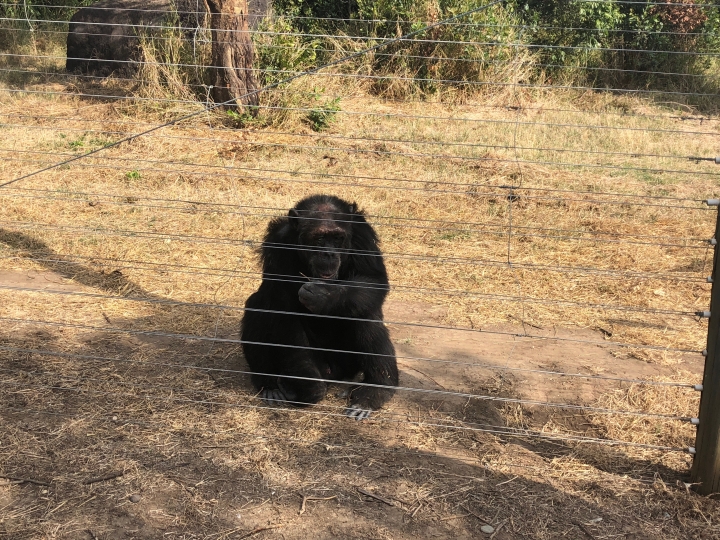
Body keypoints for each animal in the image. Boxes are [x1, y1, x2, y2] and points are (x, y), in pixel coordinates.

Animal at [242, 192, 400, 420]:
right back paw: (269, 384)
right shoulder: (277, 244)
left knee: (365, 310)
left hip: (348, 364)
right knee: (258, 304)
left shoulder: (363, 234)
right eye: (319, 239)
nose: (328, 253)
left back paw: (375, 390)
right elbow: (283, 309)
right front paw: (310, 390)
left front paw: (324, 296)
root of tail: (333, 374)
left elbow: (373, 278)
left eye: (337, 238)